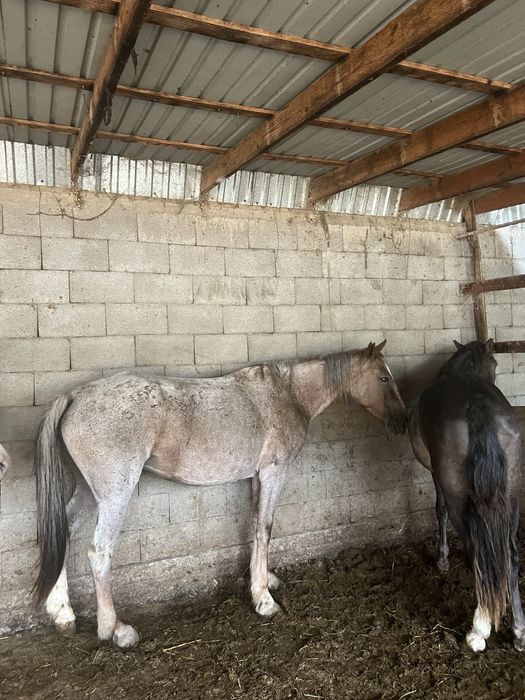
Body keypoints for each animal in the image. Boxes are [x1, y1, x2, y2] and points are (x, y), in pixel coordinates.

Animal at [34, 341, 406, 648]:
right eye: (383, 378)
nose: (401, 422)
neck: (287, 395)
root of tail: (76, 395)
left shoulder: (256, 476)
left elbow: (255, 524)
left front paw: (263, 580)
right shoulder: (273, 473)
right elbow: (266, 528)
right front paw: (264, 600)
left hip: (88, 492)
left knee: (63, 531)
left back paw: (62, 613)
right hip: (114, 495)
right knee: (99, 551)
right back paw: (115, 630)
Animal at [409, 339, 525, 652]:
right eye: (495, 364)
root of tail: (479, 404)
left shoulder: (437, 477)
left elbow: (439, 510)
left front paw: (443, 561)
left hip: (459, 497)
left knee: (476, 550)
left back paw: (479, 630)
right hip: (510, 497)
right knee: (510, 555)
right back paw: (519, 631)